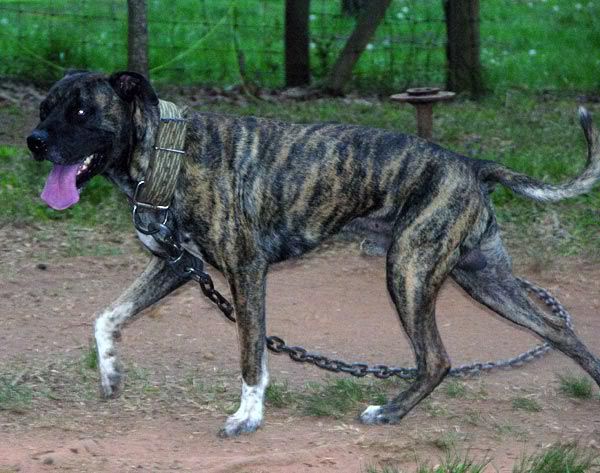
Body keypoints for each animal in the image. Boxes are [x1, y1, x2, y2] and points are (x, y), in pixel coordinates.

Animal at [28, 70, 600, 436]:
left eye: (81, 110)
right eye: (44, 108)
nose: (33, 141)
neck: (167, 153)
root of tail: (470, 163)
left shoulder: (245, 271)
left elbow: (251, 354)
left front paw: (248, 417)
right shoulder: (176, 266)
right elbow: (107, 316)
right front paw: (109, 371)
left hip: (409, 269)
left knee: (436, 358)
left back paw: (389, 413)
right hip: (483, 278)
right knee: (558, 329)